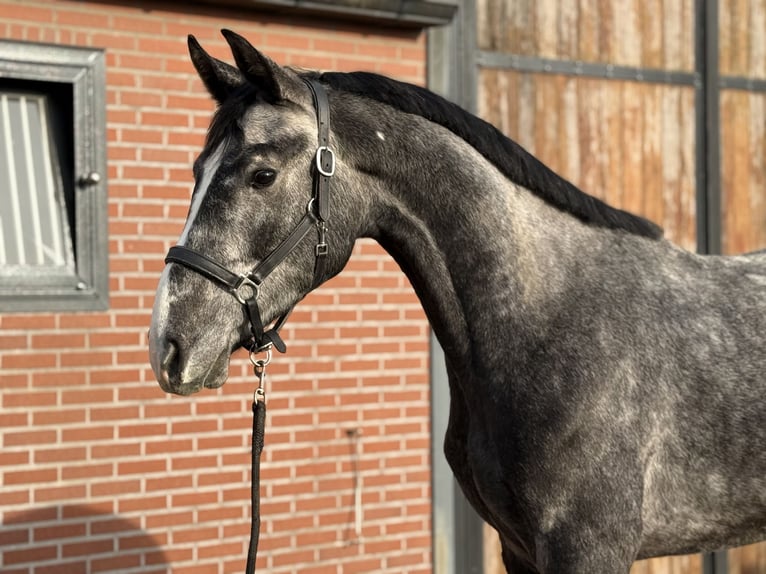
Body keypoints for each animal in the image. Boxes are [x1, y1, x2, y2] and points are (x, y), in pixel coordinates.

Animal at [148, 30, 766, 573]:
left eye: (262, 174)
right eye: (197, 171)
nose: (167, 346)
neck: (548, 323)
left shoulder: (589, 548)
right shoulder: (518, 548)